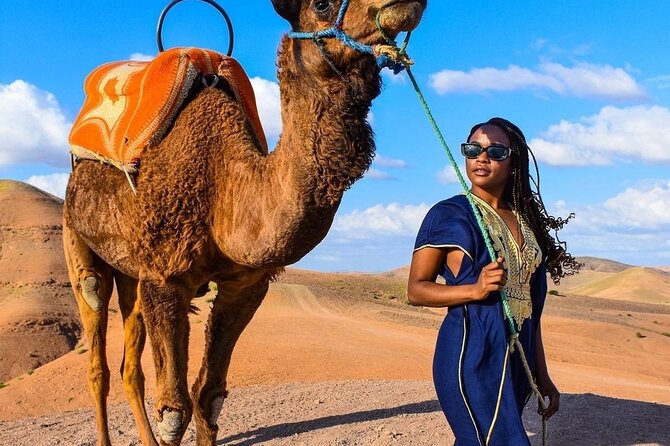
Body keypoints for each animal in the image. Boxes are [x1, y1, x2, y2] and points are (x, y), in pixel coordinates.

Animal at [62, 1, 427, 445]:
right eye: (322, 5)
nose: (402, 5)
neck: (224, 186)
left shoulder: (245, 285)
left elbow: (209, 396)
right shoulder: (165, 279)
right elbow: (174, 413)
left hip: (130, 270)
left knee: (131, 364)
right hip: (77, 234)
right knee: (95, 333)